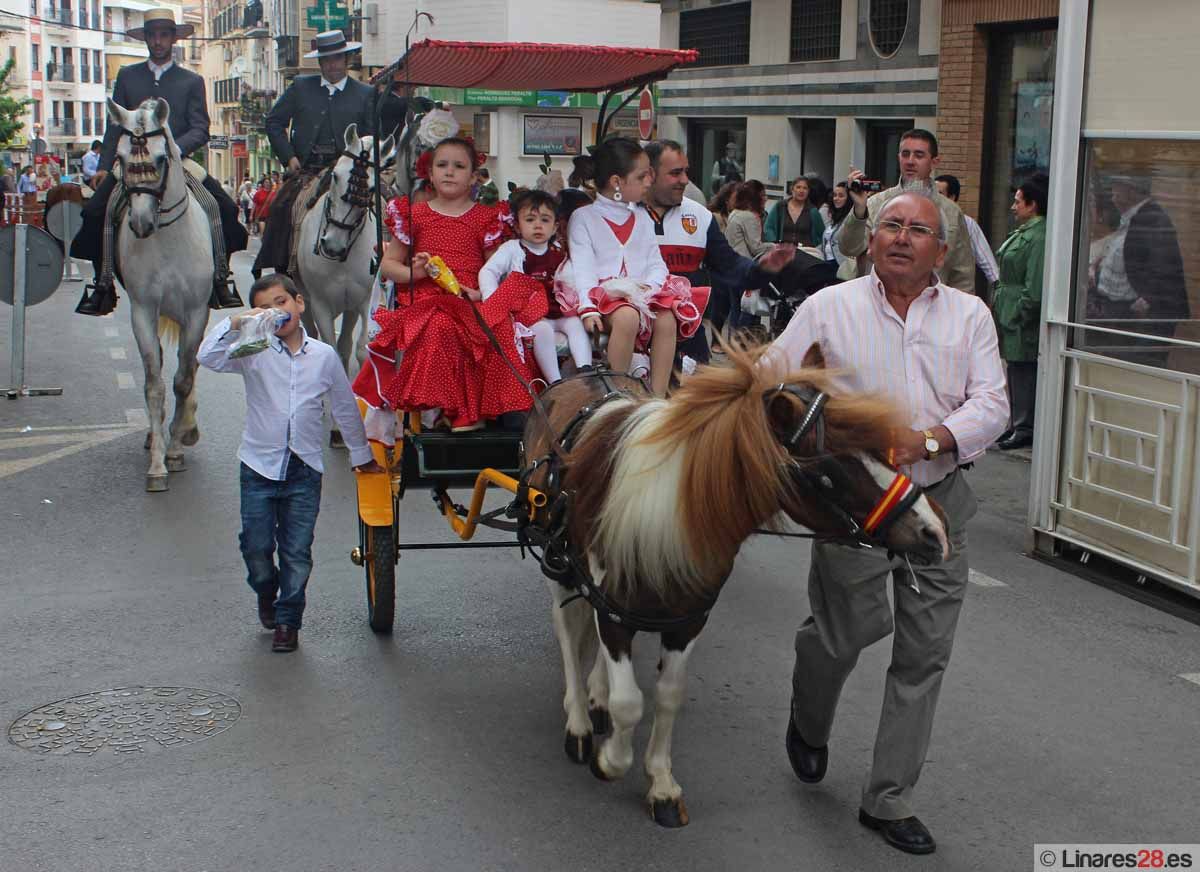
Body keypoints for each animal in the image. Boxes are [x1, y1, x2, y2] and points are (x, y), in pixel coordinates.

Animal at [108, 98, 216, 494]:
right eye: (121, 156)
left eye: (159, 157)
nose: (140, 223)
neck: (168, 238)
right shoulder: (143, 311)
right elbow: (154, 384)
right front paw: (157, 464)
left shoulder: (197, 311)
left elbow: (183, 378)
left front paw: (175, 449)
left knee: (191, 366)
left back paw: (185, 430)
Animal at [292, 124, 396, 381]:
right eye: (335, 176)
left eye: (372, 187)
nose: (332, 245)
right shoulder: (320, 304)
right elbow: (329, 350)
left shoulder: (365, 299)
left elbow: (360, 349)